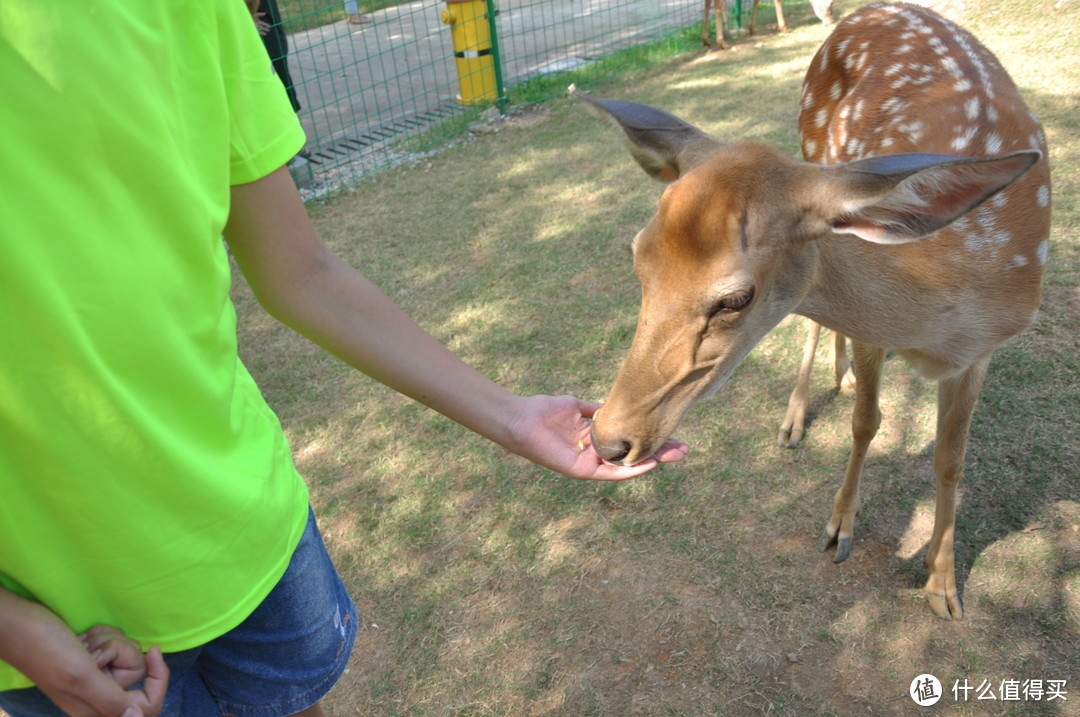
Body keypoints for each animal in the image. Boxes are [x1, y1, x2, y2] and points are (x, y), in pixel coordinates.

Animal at [578, 0, 1049, 617]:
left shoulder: (987, 348)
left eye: (735, 298)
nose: (609, 440)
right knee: (814, 330)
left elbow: (951, 457)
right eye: (638, 257)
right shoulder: (878, 326)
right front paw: (840, 525)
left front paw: (943, 584)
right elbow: (866, 422)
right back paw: (797, 416)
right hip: (814, 144)